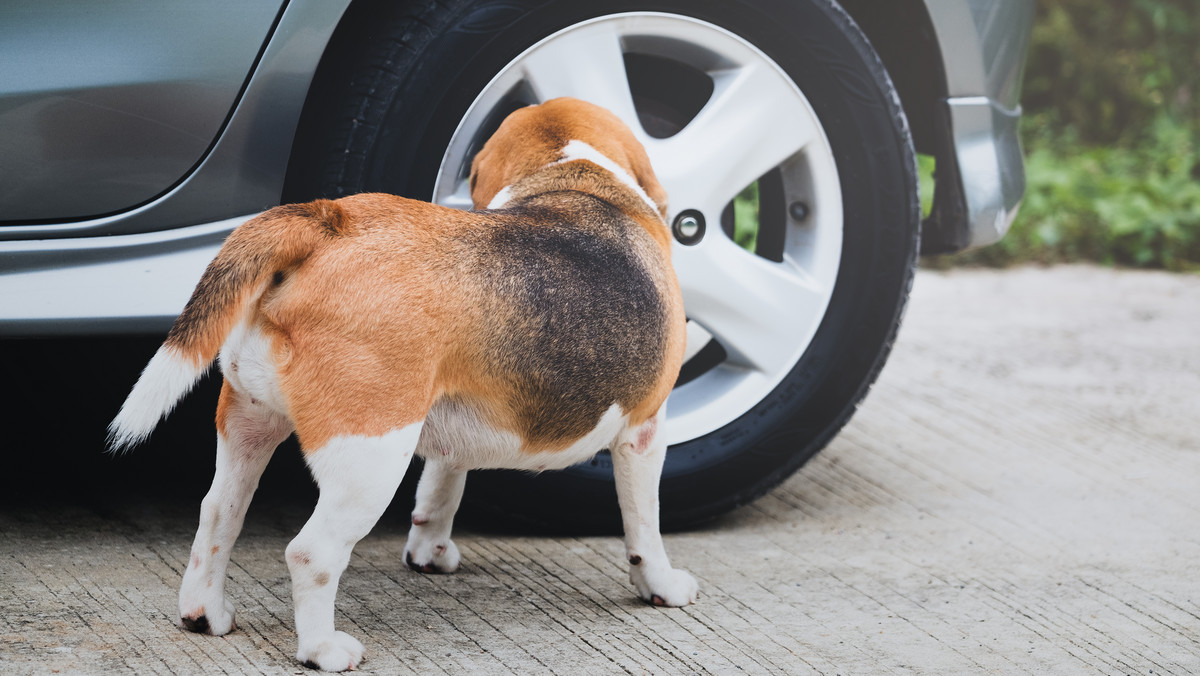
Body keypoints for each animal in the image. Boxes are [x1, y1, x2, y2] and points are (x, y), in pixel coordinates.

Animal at [112, 96, 700, 672]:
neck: (571, 176)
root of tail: (331, 220)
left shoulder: (458, 413)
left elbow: (441, 486)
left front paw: (430, 552)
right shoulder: (645, 431)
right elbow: (644, 523)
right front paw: (660, 586)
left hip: (248, 421)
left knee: (217, 514)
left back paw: (203, 612)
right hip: (370, 458)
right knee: (310, 553)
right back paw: (323, 650)